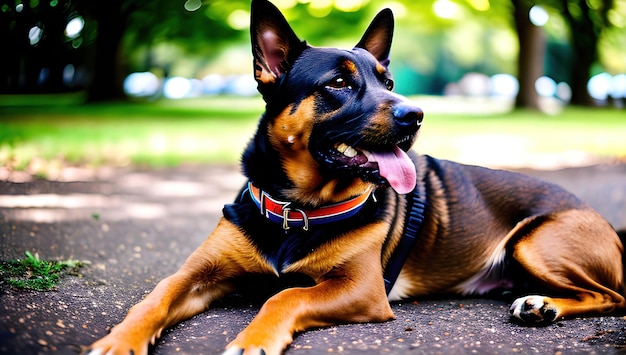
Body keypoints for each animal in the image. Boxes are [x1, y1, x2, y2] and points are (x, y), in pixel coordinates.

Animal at [88, 0, 624, 355]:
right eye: (340, 83)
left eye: (388, 82)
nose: (416, 114)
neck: (298, 209)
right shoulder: (196, 274)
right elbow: (154, 299)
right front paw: (119, 341)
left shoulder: (360, 288)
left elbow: (284, 295)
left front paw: (254, 339)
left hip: (534, 241)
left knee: (611, 296)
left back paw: (543, 304)